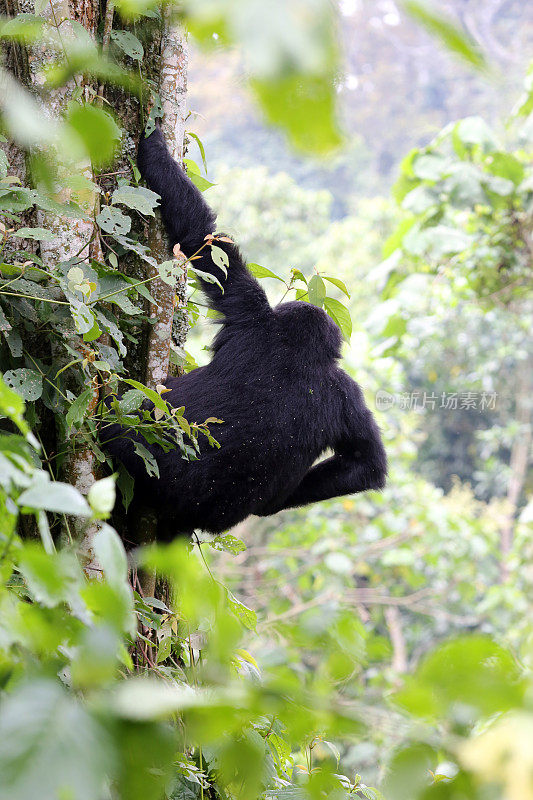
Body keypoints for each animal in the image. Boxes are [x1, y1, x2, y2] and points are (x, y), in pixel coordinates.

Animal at [103, 128, 386, 540]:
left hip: (140, 453)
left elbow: (204, 242)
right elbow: (365, 465)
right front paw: (274, 505)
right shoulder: (345, 391)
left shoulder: (250, 312)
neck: (297, 348)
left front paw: (153, 145)